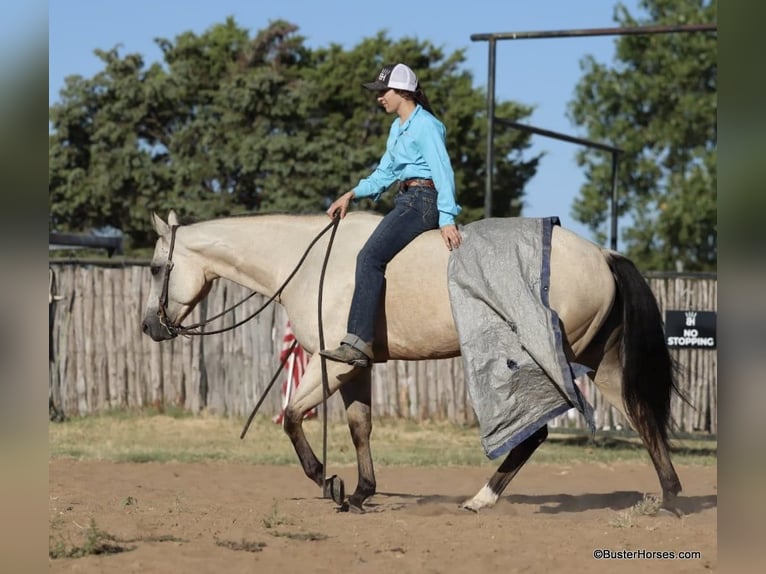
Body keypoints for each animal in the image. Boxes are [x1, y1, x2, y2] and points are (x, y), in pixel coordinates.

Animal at [141, 210, 683, 515]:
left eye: (155, 267)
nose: (150, 326)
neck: (311, 262)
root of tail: (602, 254)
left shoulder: (331, 364)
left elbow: (293, 417)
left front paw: (328, 482)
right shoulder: (356, 367)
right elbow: (360, 426)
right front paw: (360, 493)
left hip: (546, 361)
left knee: (539, 431)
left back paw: (482, 498)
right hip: (601, 364)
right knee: (642, 418)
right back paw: (671, 499)